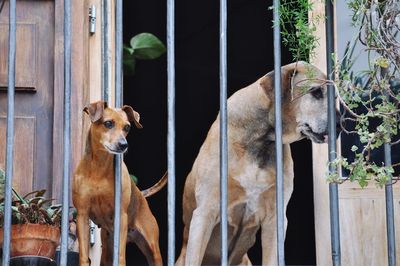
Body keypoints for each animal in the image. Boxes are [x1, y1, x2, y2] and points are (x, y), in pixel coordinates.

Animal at [72, 101, 165, 266]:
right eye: (108, 123)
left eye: (127, 127)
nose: (124, 144)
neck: (99, 168)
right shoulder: (82, 215)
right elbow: (83, 255)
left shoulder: (121, 215)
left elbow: (121, 256)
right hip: (107, 249)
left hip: (152, 246)